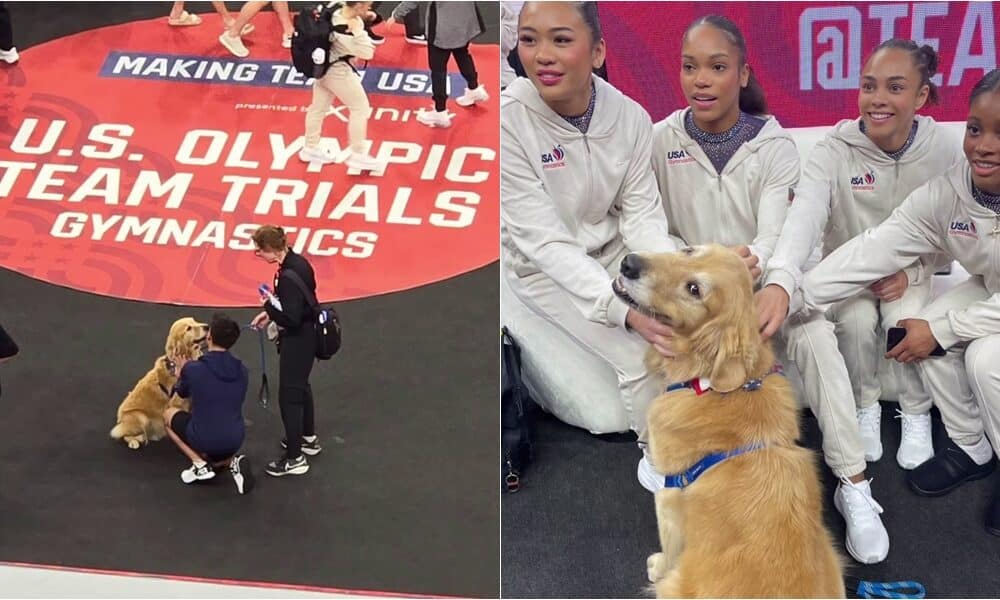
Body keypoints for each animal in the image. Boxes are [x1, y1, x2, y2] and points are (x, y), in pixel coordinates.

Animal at [109, 318, 207, 450]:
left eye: (195, 321)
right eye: (188, 328)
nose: (207, 327)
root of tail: (120, 419)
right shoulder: (178, 404)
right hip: (141, 417)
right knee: (123, 435)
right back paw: (134, 441)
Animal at [612, 245, 840, 600]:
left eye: (694, 289)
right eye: (689, 250)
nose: (629, 262)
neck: (712, 384)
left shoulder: (669, 494)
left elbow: (670, 548)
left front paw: (658, 565)